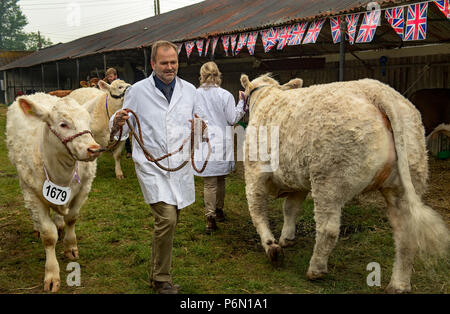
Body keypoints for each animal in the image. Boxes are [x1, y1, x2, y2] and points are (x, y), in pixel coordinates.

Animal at [5, 92, 101, 292]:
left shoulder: (84, 188)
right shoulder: (33, 195)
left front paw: (70, 247)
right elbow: (49, 236)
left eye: (87, 121)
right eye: (63, 124)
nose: (94, 149)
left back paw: (59, 223)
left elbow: (72, 218)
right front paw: (51, 274)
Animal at [243, 74, 450, 294]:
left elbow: (257, 211)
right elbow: (290, 208)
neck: (267, 97)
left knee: (328, 228)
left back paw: (315, 269)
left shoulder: (254, 173)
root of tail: (377, 91)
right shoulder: (297, 181)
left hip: (328, 180)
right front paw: (287, 238)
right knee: (407, 233)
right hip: (406, 179)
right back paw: (399, 285)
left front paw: (271, 246)